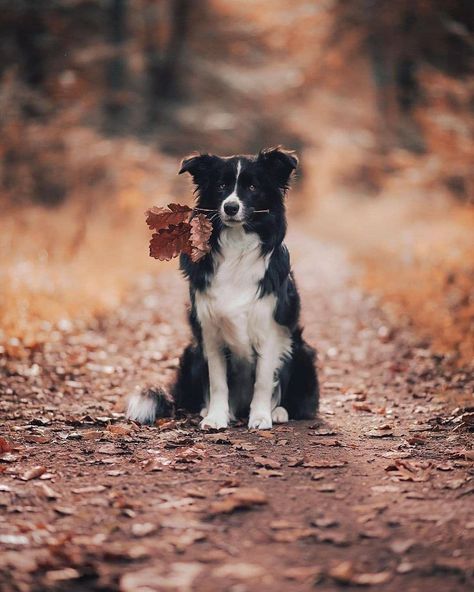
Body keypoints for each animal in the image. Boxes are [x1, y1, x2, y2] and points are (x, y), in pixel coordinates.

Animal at [126, 146, 318, 428]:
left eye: (252, 186)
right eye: (221, 186)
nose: (230, 207)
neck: (238, 244)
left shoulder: (270, 329)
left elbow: (263, 380)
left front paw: (261, 417)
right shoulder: (210, 332)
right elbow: (217, 382)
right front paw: (216, 417)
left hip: (302, 350)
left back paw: (278, 411)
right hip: (192, 352)